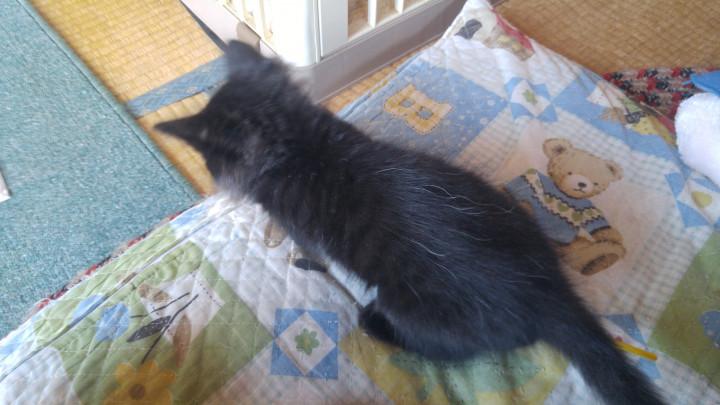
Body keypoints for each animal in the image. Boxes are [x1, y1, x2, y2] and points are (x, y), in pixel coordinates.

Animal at [156, 41, 664, 405]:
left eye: (209, 162)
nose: (212, 178)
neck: (300, 144)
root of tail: (550, 294)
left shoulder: (303, 227)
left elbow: (313, 252)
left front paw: (305, 263)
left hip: (422, 310)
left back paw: (373, 321)